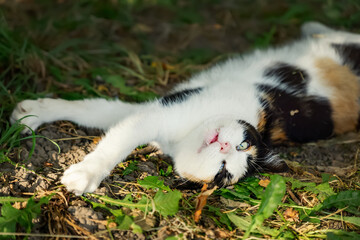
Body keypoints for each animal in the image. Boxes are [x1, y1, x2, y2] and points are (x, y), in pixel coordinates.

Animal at [10, 22, 360, 195]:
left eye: (224, 172)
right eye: (243, 145)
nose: (226, 145)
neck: (183, 135)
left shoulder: (153, 114)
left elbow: (106, 124)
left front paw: (82, 172)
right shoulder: (162, 109)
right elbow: (99, 120)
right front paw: (36, 114)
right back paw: (311, 25)